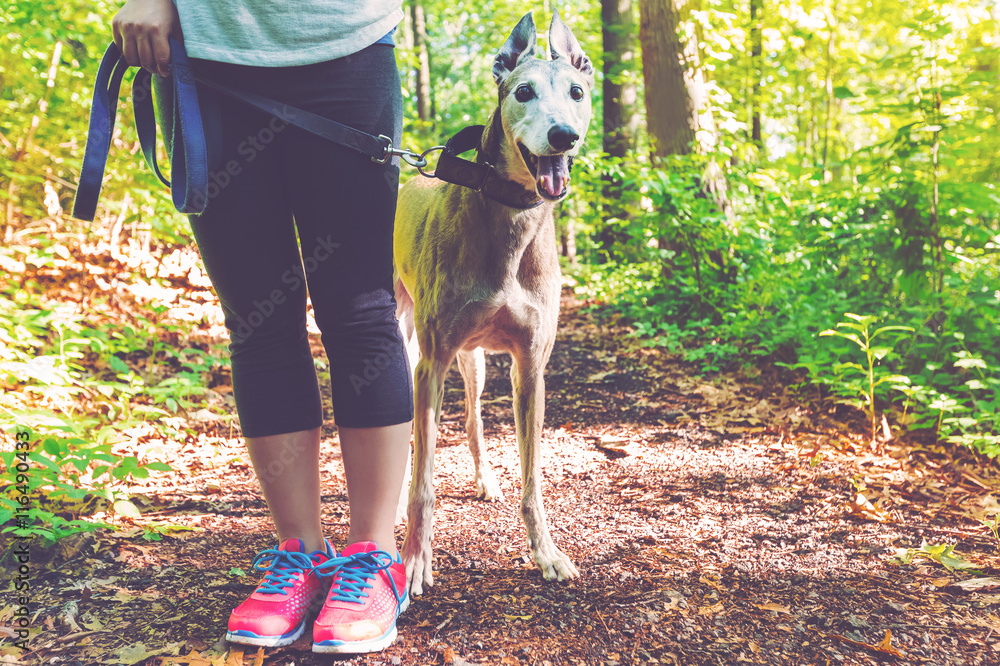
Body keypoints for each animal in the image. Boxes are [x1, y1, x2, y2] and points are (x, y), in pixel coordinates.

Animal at [392, 10, 592, 592]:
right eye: (523, 91)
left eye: (577, 92)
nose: (563, 136)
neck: (510, 222)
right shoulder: (432, 362)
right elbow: (424, 481)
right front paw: (415, 559)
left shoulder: (530, 366)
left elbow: (533, 479)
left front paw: (546, 552)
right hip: (410, 344)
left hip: (474, 360)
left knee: (475, 422)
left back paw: (484, 478)